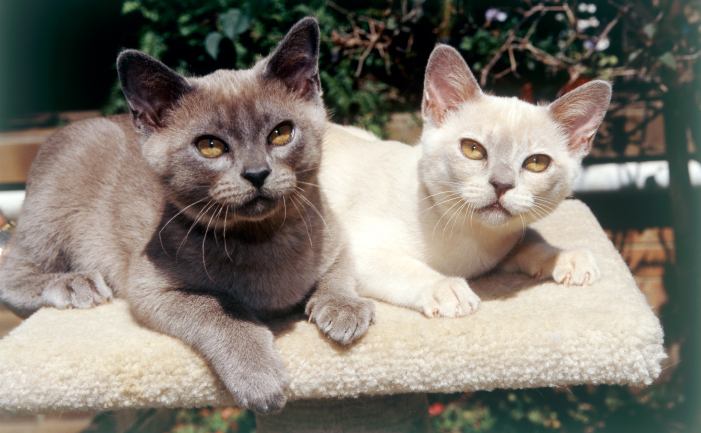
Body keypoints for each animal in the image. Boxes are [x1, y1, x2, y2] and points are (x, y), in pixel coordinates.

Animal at [0, 17, 374, 412]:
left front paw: (344, 309)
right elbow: (219, 309)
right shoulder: (150, 287)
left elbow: (340, 271)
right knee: (12, 272)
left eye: (281, 133)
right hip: (49, 217)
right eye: (210, 146)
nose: (257, 173)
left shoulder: (335, 235)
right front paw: (259, 377)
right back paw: (76, 284)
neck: (261, 240)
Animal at [320, 45, 608, 318]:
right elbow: (408, 269)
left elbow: (532, 240)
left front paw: (569, 258)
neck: (472, 239)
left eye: (537, 162)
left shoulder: (504, 245)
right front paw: (448, 289)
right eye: (473, 149)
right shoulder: (356, 247)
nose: (501, 184)